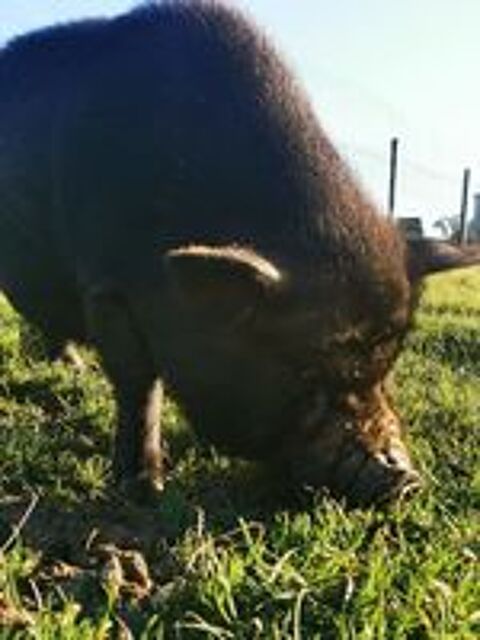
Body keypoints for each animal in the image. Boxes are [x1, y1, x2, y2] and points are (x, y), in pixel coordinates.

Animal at [1, 1, 479, 505]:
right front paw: (144, 489)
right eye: (307, 374)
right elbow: (138, 385)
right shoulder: (107, 284)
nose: (404, 481)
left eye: (386, 367)